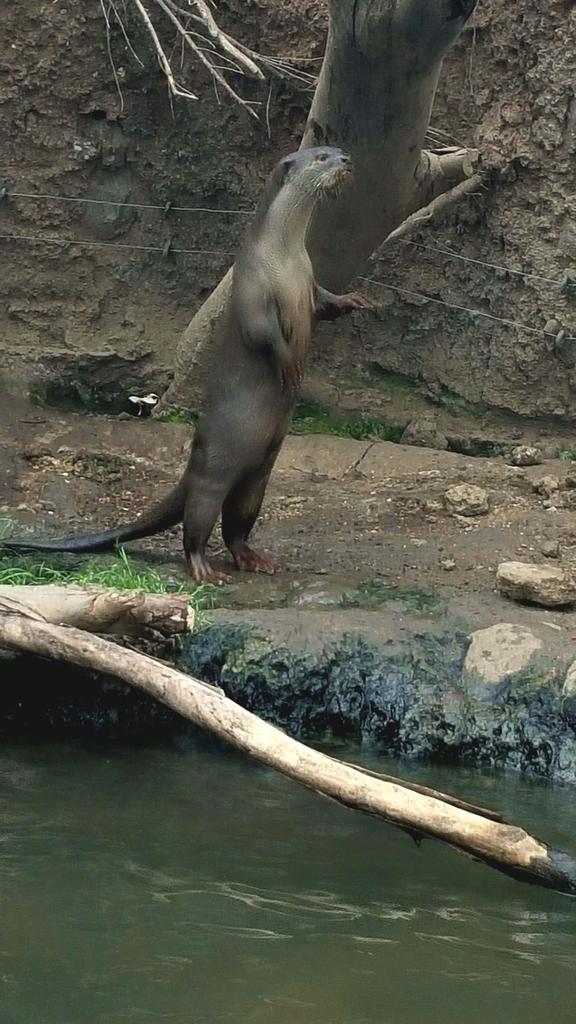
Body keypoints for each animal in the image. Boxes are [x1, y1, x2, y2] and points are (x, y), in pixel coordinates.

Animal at [8, 148, 370, 583]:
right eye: (321, 156)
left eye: (338, 151)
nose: (347, 158)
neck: (284, 258)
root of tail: (192, 467)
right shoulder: (253, 291)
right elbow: (263, 336)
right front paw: (289, 365)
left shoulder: (310, 283)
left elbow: (325, 303)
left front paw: (353, 300)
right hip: (214, 472)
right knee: (196, 525)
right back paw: (204, 569)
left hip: (257, 479)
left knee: (236, 527)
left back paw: (254, 559)